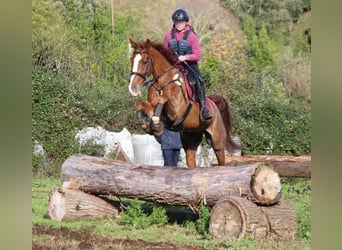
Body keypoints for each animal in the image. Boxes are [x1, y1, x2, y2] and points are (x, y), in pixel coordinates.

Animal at [128, 39, 238, 168]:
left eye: (145, 62)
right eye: (131, 60)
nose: (132, 88)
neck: (162, 83)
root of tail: (214, 104)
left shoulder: (175, 113)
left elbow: (161, 99)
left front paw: (155, 124)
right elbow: (140, 104)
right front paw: (150, 125)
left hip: (217, 142)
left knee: (221, 160)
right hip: (190, 140)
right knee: (191, 160)